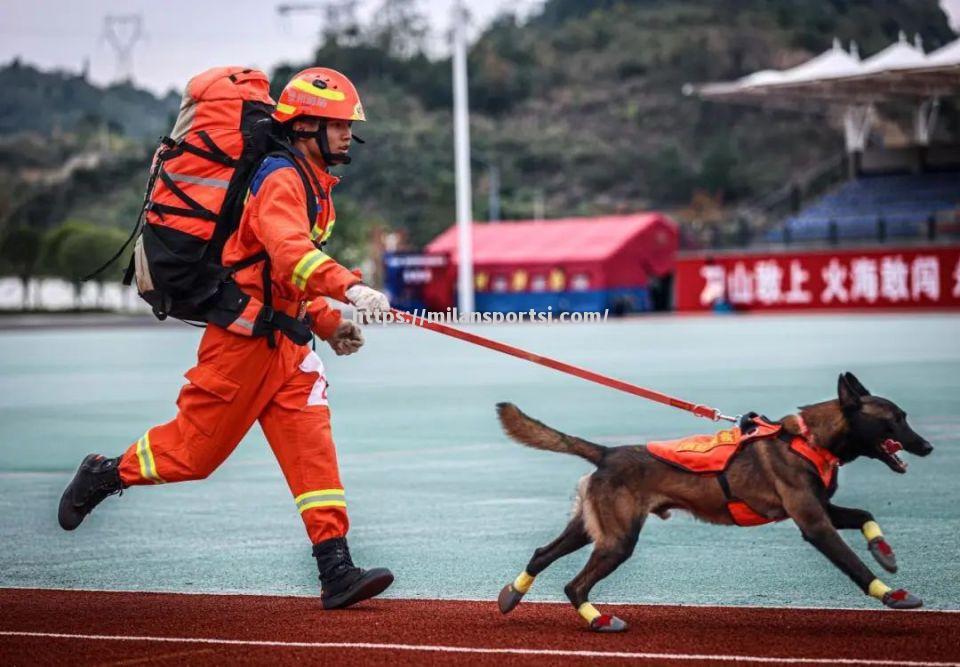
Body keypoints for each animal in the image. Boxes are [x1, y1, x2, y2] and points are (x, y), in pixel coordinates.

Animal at [498, 374, 932, 636]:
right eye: (895, 419)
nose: (926, 446)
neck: (808, 440)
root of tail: (607, 453)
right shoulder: (814, 524)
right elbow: (854, 566)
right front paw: (892, 594)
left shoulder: (822, 509)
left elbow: (865, 516)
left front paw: (885, 552)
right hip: (617, 539)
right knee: (574, 584)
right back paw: (599, 620)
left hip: (591, 528)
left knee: (542, 554)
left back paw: (511, 594)